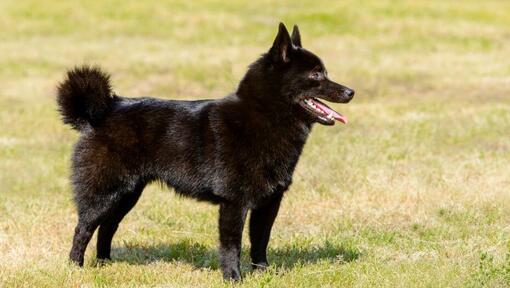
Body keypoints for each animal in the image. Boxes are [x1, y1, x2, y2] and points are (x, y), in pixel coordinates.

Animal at [55, 23, 352, 280]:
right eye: (316, 74)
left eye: (324, 72)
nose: (350, 91)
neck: (263, 117)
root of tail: (101, 112)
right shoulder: (234, 202)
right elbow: (232, 245)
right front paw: (233, 278)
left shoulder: (269, 202)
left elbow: (260, 241)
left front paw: (264, 273)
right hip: (104, 192)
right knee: (83, 228)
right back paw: (75, 268)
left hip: (127, 194)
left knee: (107, 227)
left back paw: (106, 264)